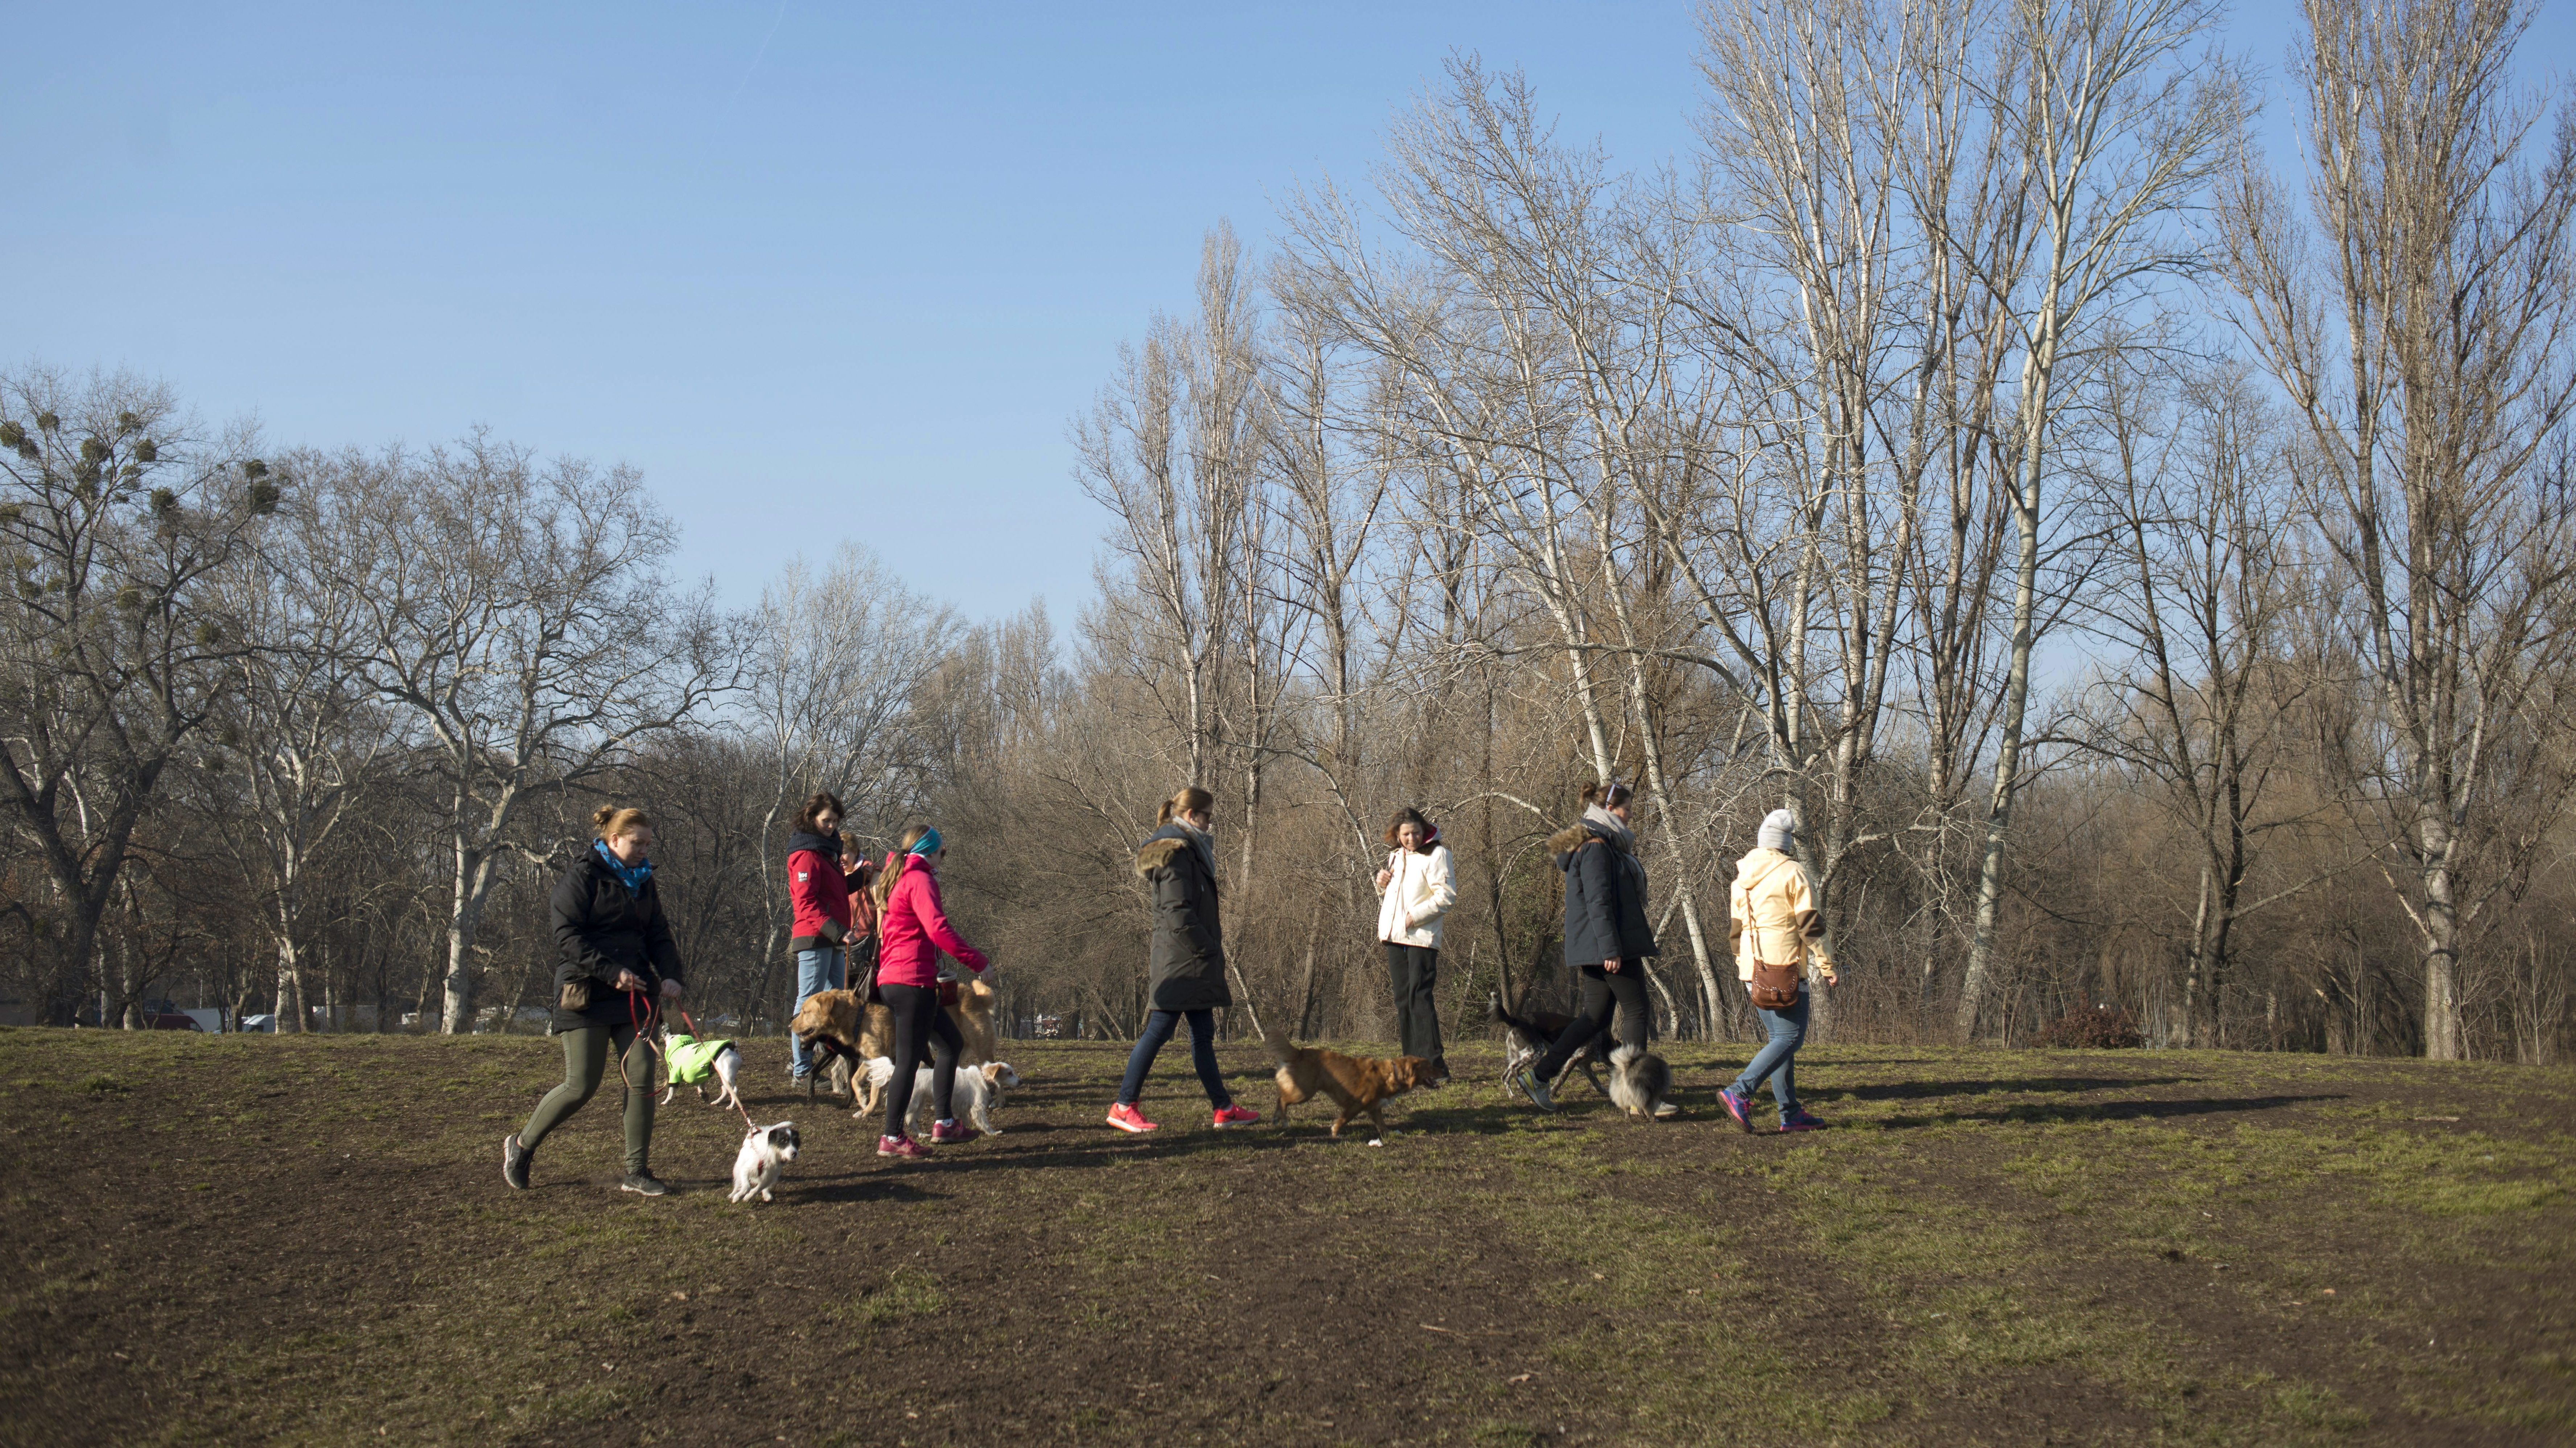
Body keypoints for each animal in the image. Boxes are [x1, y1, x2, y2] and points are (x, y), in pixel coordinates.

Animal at [726, 1123, 793, 1201]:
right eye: (783, 1140)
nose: (794, 1154)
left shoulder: (769, 1177)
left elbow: (759, 1188)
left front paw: (749, 1196)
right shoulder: (746, 1170)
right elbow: (747, 1187)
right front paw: (739, 1196)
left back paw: (766, 1195)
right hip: (739, 1167)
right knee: (738, 1183)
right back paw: (734, 1194)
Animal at [865, 1056, 1025, 1134]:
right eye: (1010, 1073)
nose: (1021, 1081)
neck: (984, 1078)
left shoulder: (961, 1107)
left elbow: (964, 1120)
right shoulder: (978, 1108)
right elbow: (984, 1123)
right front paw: (993, 1132)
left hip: (920, 1104)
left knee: (912, 1122)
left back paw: (923, 1135)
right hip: (913, 1104)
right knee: (908, 1120)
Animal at [1267, 1025, 1453, 1139]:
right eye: (1430, 1067)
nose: (1444, 1071)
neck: (1393, 1074)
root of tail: (1300, 1052)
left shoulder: (1375, 1108)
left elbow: (1382, 1124)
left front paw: (1390, 1133)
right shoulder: (1357, 1105)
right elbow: (1344, 1119)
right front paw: (1335, 1131)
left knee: (1280, 1099)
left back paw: (1277, 1119)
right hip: (1304, 1092)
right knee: (1283, 1099)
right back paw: (1283, 1120)